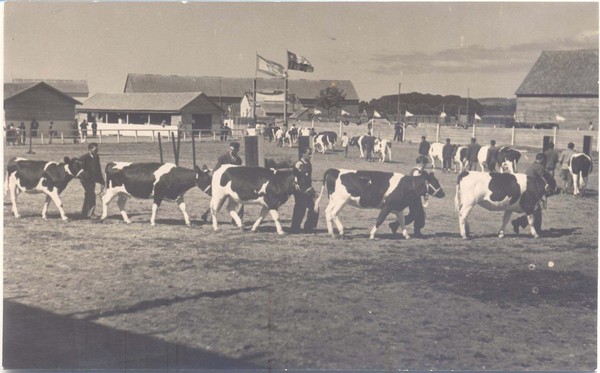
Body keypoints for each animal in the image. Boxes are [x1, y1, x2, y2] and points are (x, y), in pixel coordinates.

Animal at [314, 169, 446, 238]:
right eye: (435, 182)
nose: (443, 194)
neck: (406, 185)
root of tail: (334, 171)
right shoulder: (387, 206)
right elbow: (380, 219)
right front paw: (372, 235)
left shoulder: (398, 208)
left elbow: (402, 221)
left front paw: (406, 235)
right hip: (341, 201)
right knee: (333, 214)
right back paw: (341, 231)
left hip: (333, 200)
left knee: (327, 212)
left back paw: (331, 233)